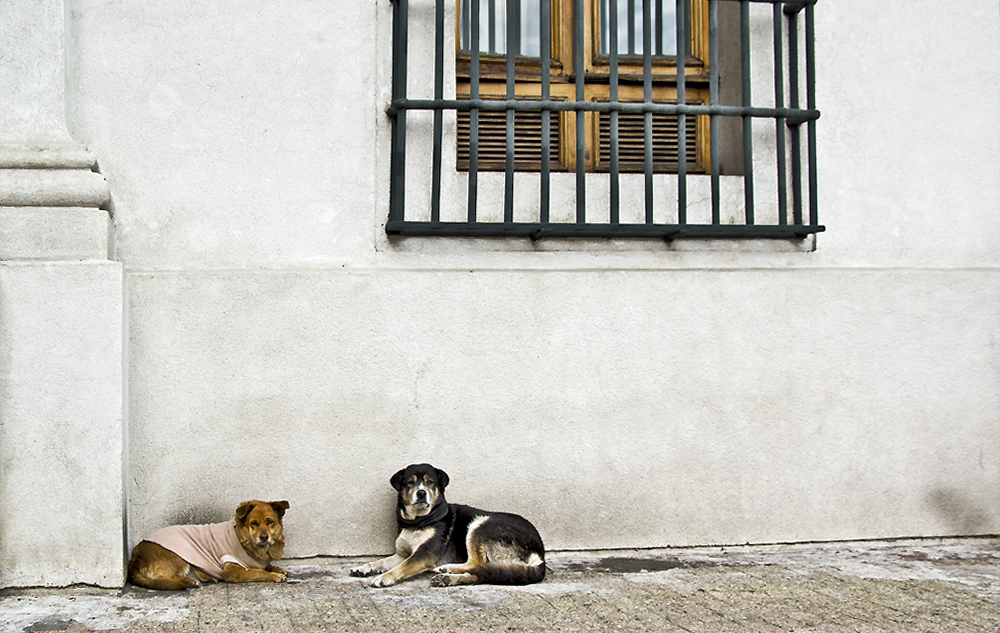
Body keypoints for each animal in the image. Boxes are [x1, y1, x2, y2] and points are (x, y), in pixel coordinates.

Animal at [129, 502, 290, 592]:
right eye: (254, 523)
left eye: (269, 522)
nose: (264, 537)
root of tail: (134, 557)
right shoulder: (232, 571)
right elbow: (258, 572)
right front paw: (274, 575)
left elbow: (265, 566)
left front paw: (276, 568)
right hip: (178, 556)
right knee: (165, 579)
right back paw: (190, 582)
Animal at [352, 462, 548, 584]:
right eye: (410, 483)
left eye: (430, 482)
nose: (421, 493)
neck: (418, 522)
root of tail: (539, 553)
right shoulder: (402, 554)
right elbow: (381, 561)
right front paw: (364, 567)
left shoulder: (424, 554)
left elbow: (402, 567)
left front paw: (385, 577)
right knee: (484, 573)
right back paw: (448, 578)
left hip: (480, 525)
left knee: (478, 564)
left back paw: (448, 569)